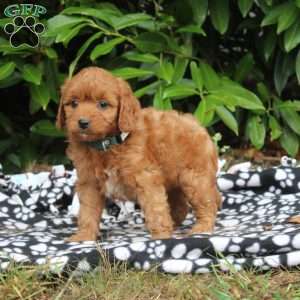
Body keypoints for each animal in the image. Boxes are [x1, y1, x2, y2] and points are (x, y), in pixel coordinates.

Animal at [56, 67, 220, 240]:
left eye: (103, 104)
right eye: (74, 103)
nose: (83, 122)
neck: (107, 144)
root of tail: (197, 125)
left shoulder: (146, 178)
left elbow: (155, 208)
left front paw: (161, 236)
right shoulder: (89, 182)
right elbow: (87, 211)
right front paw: (84, 236)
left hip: (195, 177)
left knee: (207, 203)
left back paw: (201, 228)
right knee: (181, 206)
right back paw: (174, 225)